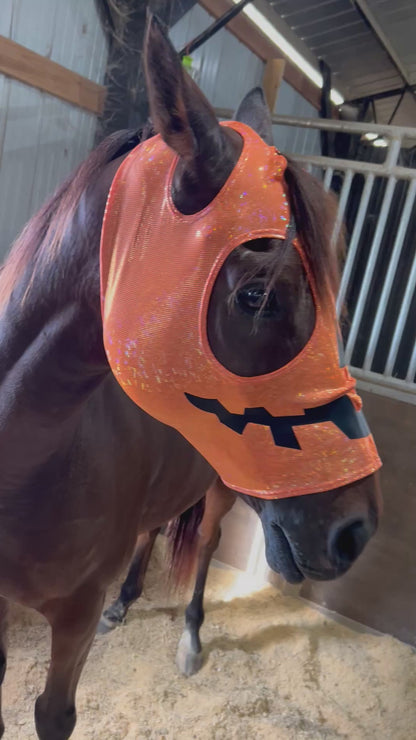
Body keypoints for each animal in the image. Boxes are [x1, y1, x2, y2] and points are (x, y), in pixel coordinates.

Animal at [0, 14, 381, 740]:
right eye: (257, 295)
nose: (357, 530)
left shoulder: (72, 619)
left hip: (224, 490)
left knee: (203, 544)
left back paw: (192, 637)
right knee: (152, 529)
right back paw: (126, 603)